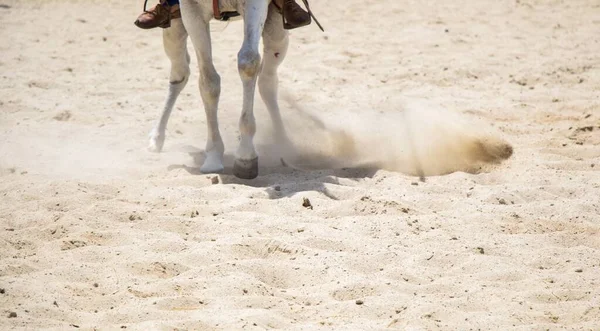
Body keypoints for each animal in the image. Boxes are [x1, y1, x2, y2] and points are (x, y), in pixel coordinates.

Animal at [149, 0, 292, 180]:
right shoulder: (191, 10)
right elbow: (209, 81)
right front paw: (213, 157)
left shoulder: (256, 4)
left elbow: (248, 63)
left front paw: (245, 155)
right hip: (174, 27)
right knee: (179, 72)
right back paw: (156, 138)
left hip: (276, 29)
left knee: (268, 80)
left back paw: (283, 141)